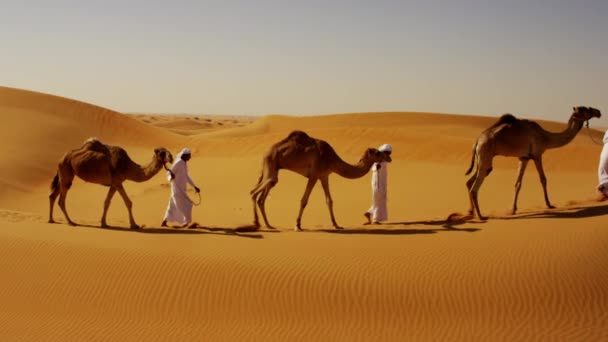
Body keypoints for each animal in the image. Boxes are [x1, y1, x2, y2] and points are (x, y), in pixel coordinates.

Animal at [252, 130, 394, 231]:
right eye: (377, 153)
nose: (389, 158)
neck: (331, 158)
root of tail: (265, 151)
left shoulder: (324, 176)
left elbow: (329, 201)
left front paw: (336, 225)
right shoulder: (314, 175)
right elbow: (304, 200)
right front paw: (297, 225)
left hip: (272, 168)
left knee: (262, 197)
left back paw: (268, 225)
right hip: (271, 165)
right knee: (254, 192)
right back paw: (257, 223)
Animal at [466, 105, 604, 220]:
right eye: (586, 109)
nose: (599, 112)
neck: (546, 137)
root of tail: (477, 141)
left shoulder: (524, 157)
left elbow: (518, 183)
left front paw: (513, 209)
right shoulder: (537, 155)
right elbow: (543, 179)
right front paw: (549, 204)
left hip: (482, 159)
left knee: (469, 182)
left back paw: (471, 213)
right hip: (486, 154)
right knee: (474, 188)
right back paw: (481, 216)